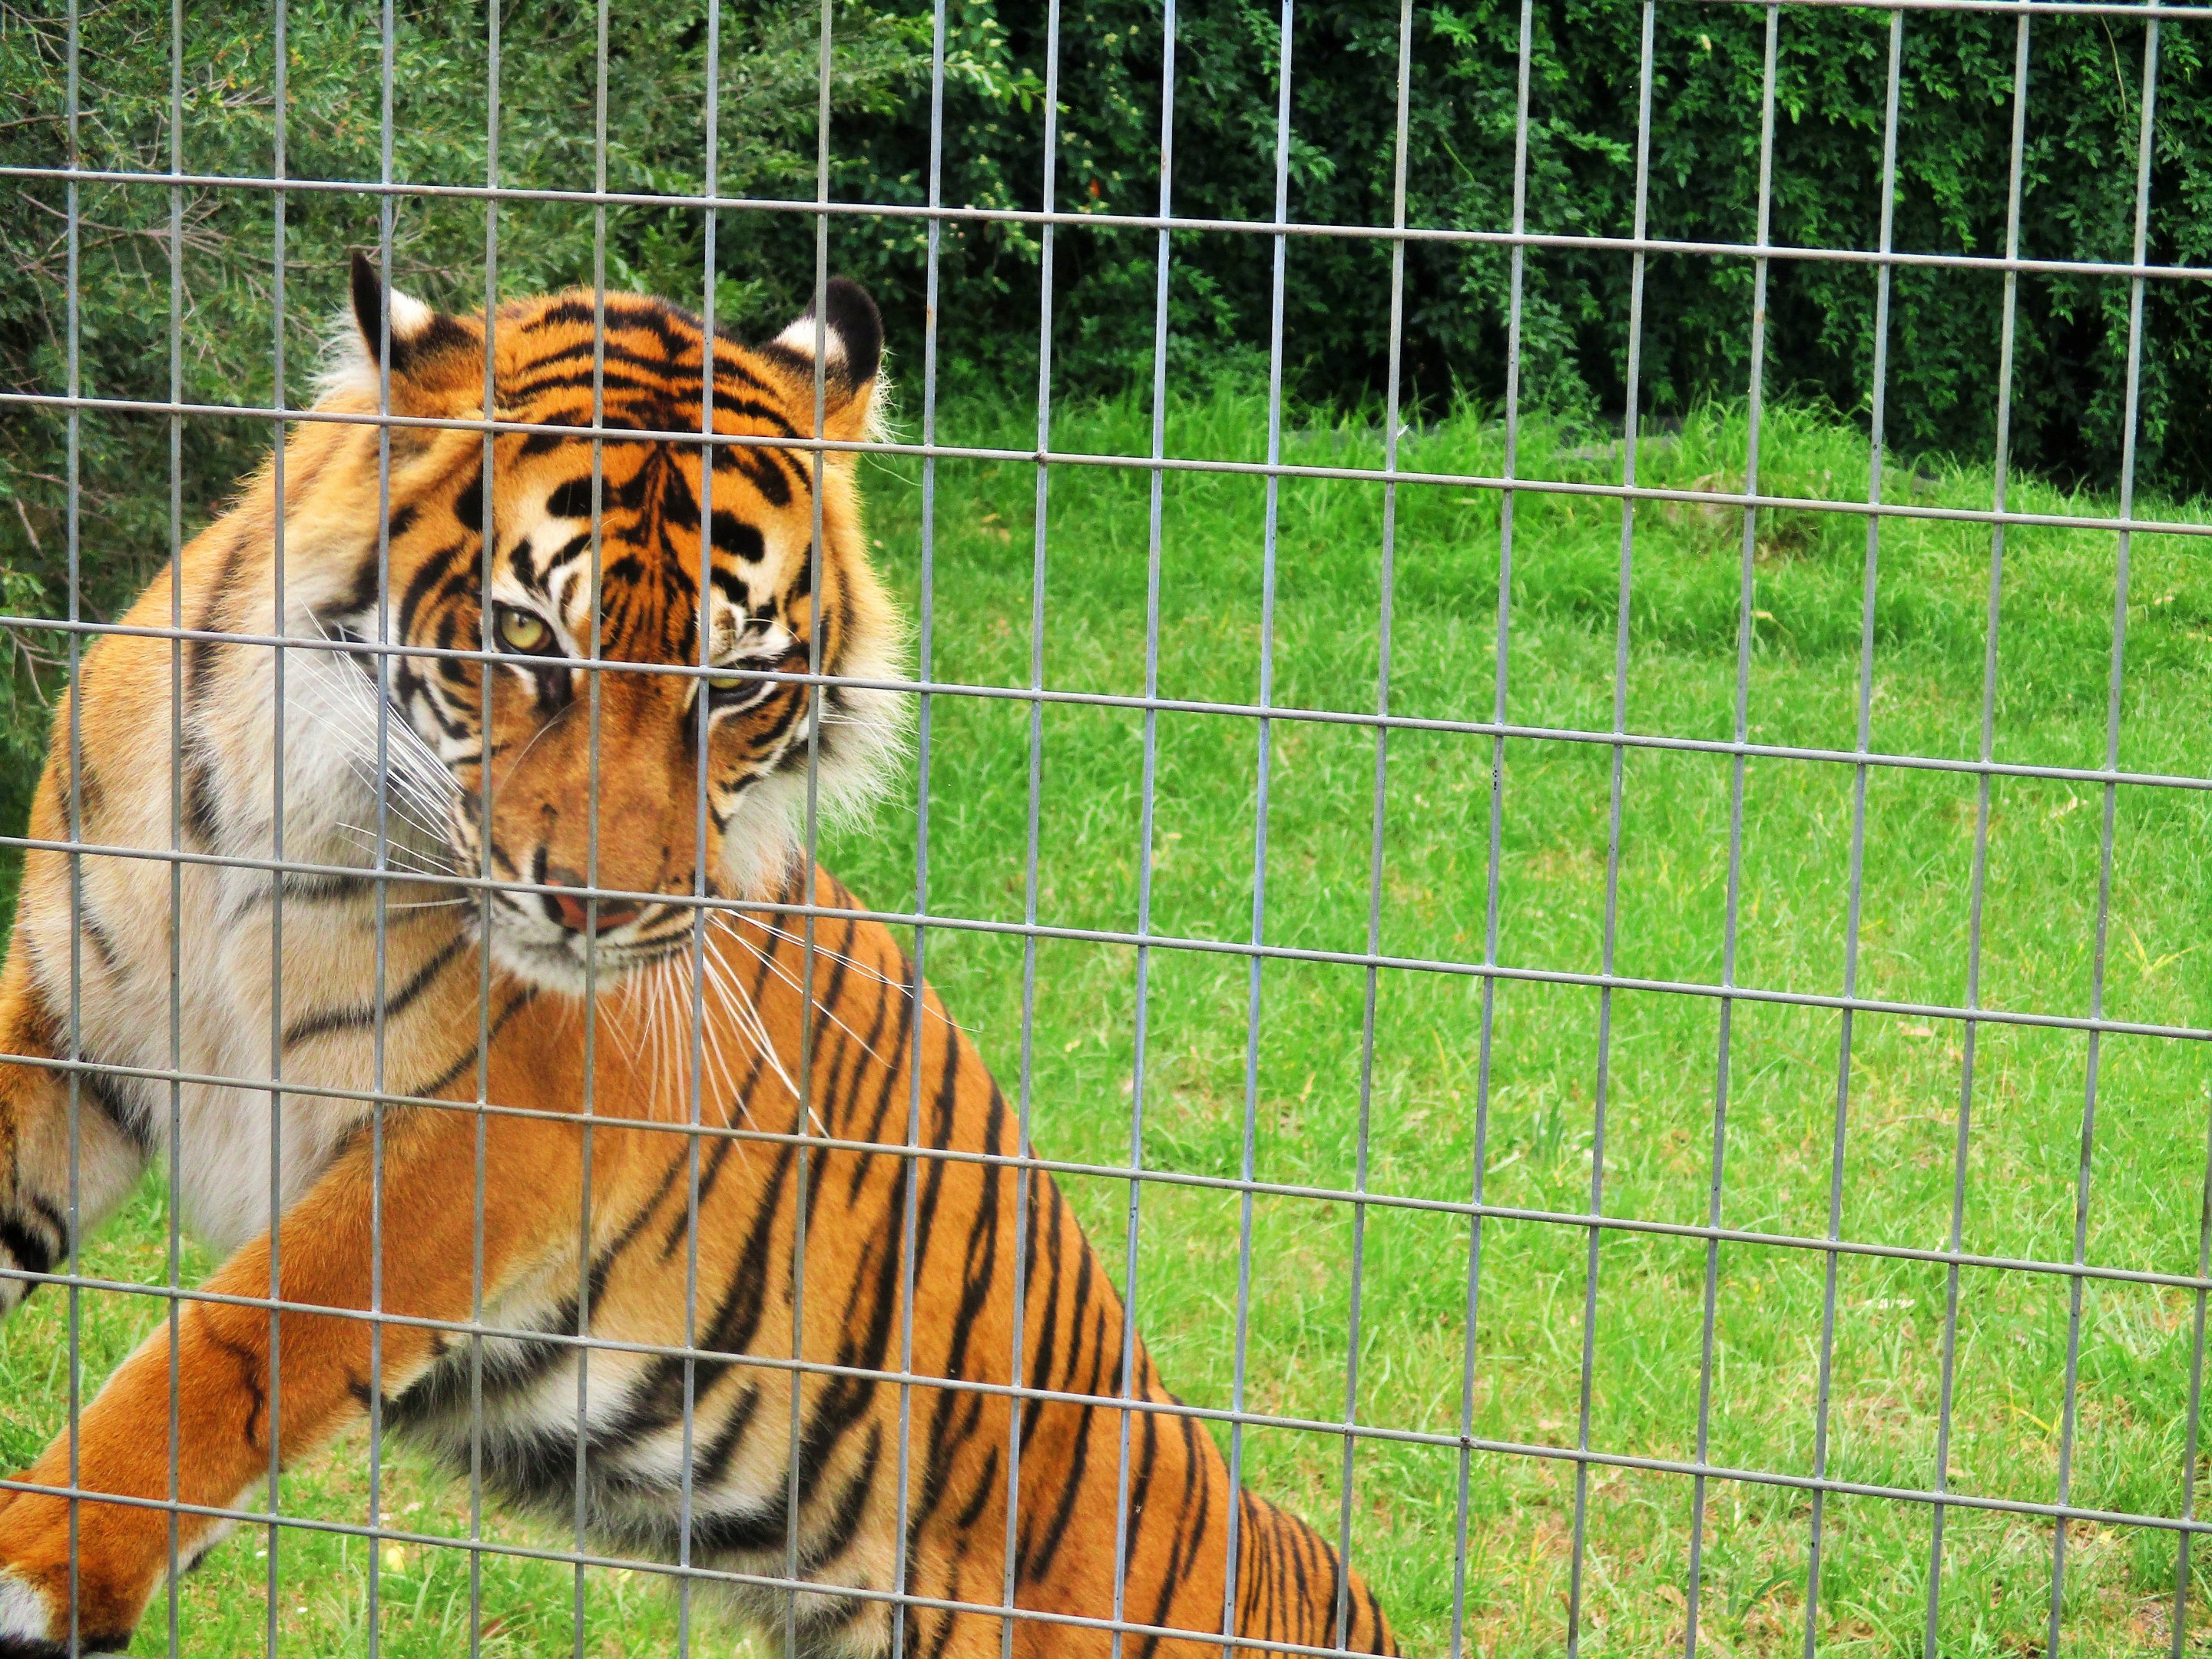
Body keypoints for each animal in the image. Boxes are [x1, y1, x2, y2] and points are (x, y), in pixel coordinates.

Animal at [0, 255, 1398, 1659]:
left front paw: (41, 1561)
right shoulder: (68, 1019)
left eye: (733, 687)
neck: (274, 810)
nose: (599, 911)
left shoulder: (491, 1135)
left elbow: (241, 1346)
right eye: (526, 640)